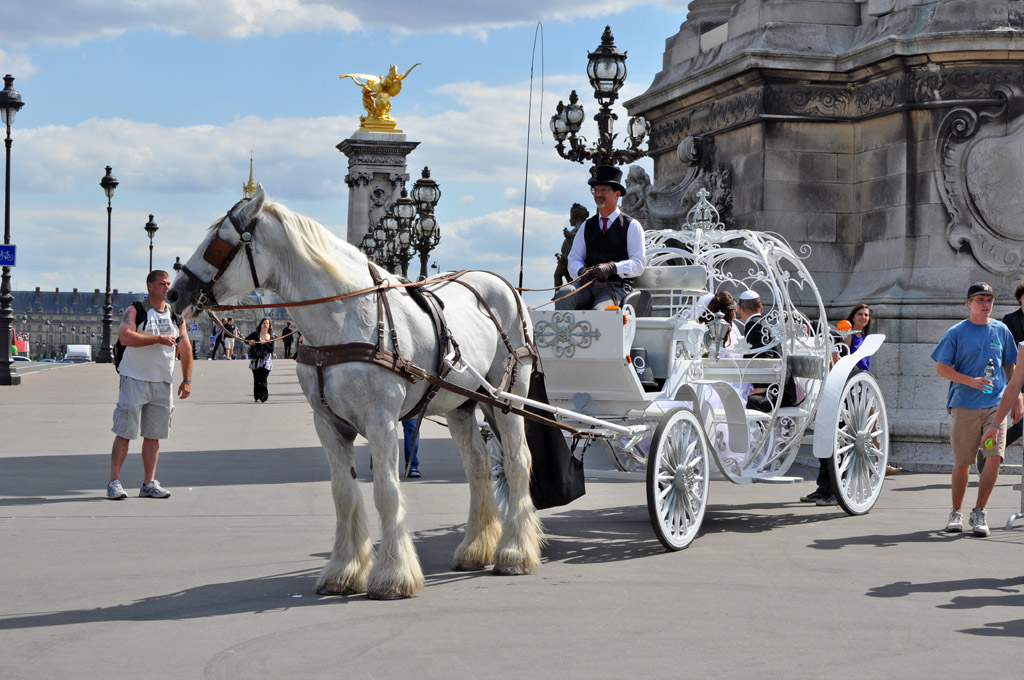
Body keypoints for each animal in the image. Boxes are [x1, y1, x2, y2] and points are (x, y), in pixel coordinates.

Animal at [167, 186, 544, 593]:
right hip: (461, 403)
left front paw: (393, 575)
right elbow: (344, 494)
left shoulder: (382, 422)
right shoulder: (328, 424)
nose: (173, 294)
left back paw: (515, 553)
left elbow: (386, 492)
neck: (342, 320)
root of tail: (503, 283)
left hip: (507, 396)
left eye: (217, 246)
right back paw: (475, 548)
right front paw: (344, 572)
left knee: (517, 460)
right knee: (477, 466)